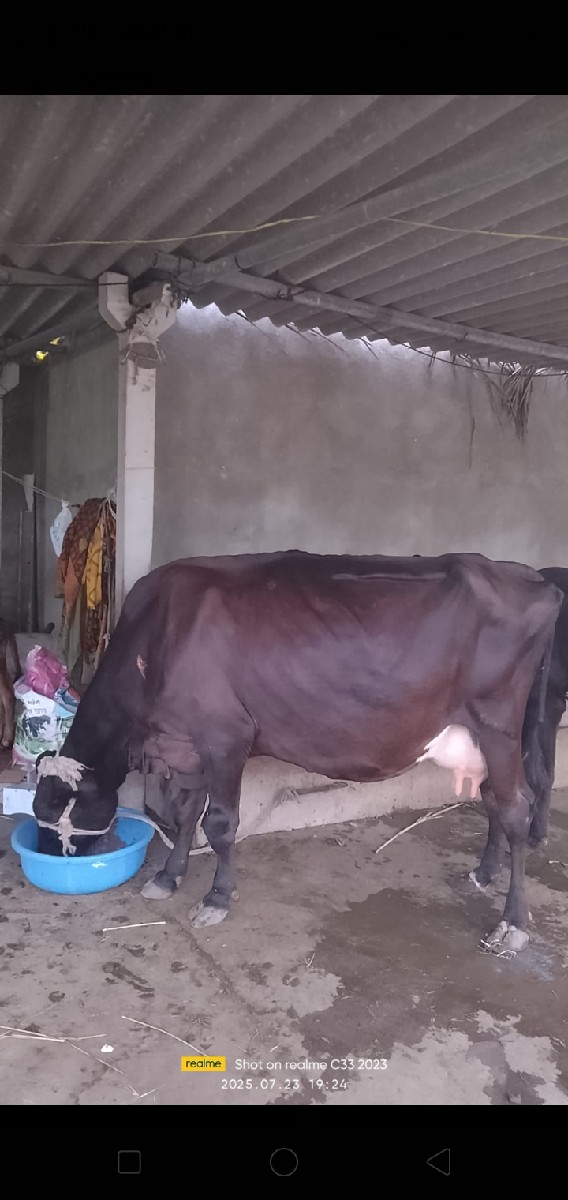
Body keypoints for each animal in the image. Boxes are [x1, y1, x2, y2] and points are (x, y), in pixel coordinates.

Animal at [32, 550, 562, 955]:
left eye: (54, 813)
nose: (42, 856)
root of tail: (530, 577)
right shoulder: (186, 742)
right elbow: (184, 815)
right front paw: (168, 876)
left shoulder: (226, 736)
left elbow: (219, 824)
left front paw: (217, 898)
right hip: (487, 738)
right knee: (493, 799)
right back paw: (483, 873)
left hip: (497, 725)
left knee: (516, 809)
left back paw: (513, 923)